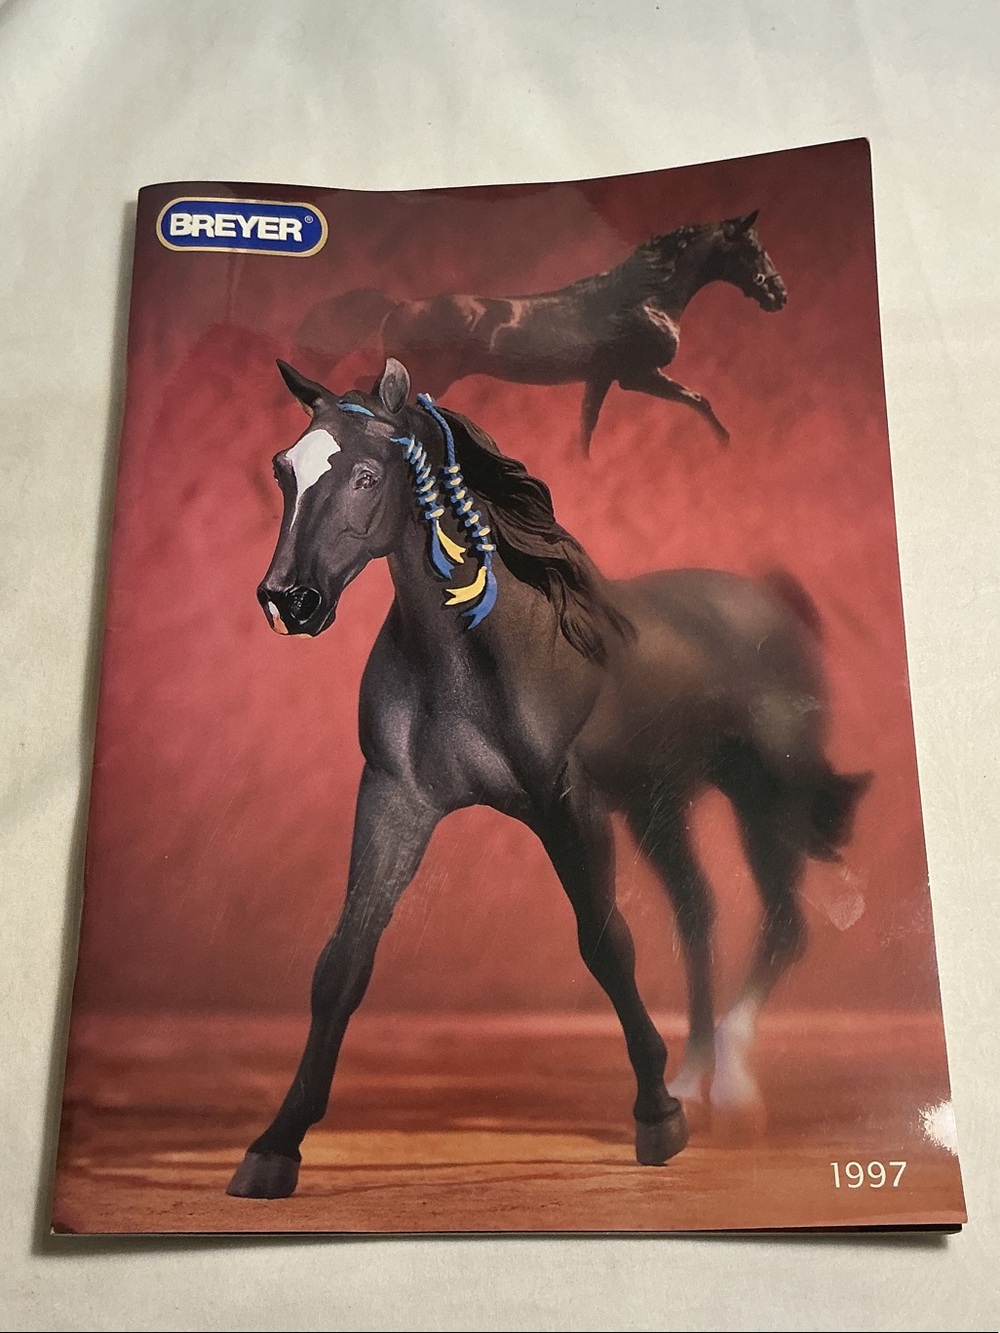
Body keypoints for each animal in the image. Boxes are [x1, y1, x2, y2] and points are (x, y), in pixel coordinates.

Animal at [227, 357, 868, 1200]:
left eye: (366, 475)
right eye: (282, 469)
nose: (288, 601)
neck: (481, 653)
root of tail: (771, 601)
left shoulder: (568, 804)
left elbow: (606, 942)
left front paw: (657, 1117)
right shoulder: (395, 798)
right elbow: (344, 960)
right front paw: (275, 1146)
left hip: (765, 798)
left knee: (784, 922)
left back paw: (726, 1085)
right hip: (660, 805)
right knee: (698, 911)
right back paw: (696, 1073)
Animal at [293, 211, 787, 455]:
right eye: (752, 248)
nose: (779, 295)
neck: (647, 295)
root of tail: (398, 306)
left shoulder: (601, 379)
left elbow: (586, 427)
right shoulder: (638, 375)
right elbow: (699, 398)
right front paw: (725, 444)